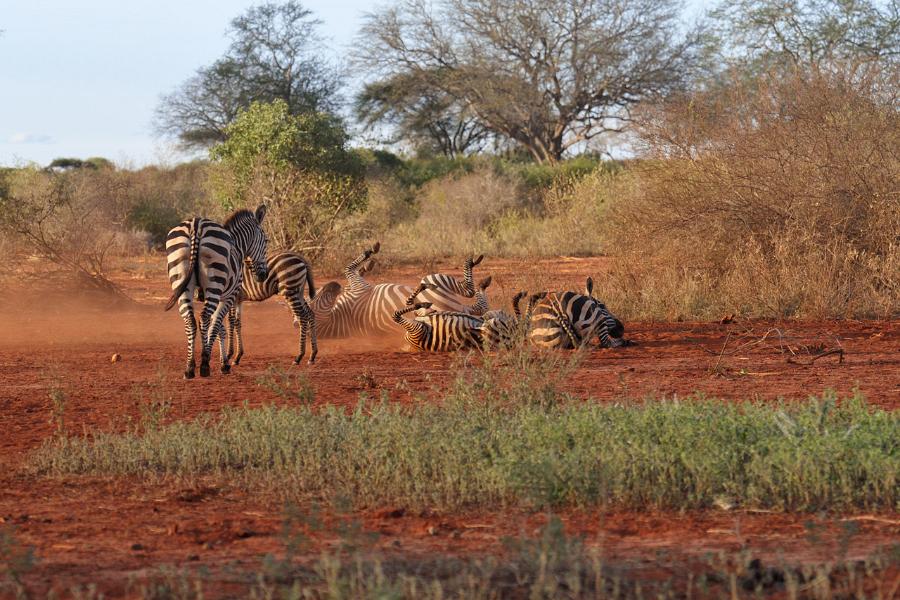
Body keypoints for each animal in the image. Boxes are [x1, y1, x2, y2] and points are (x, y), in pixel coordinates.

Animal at [165, 204, 268, 378]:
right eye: (266, 242)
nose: (263, 275)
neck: (238, 246)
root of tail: (196, 224)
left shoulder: (216, 296)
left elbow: (219, 327)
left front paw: (222, 360)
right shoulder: (229, 295)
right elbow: (219, 325)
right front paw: (224, 363)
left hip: (180, 280)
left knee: (190, 319)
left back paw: (189, 367)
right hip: (214, 281)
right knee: (204, 317)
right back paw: (204, 366)